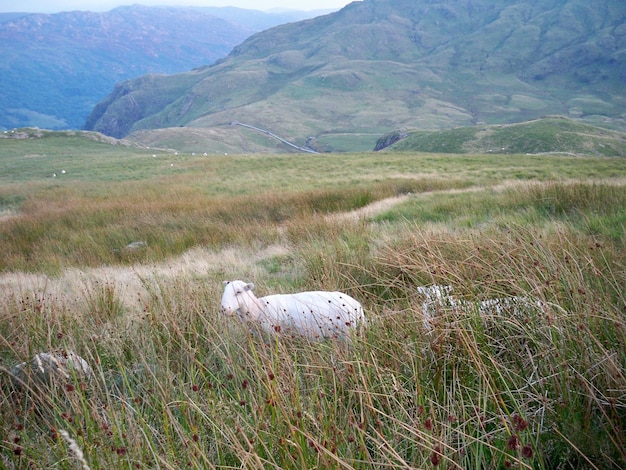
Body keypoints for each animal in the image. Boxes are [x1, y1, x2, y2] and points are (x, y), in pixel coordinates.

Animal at [221, 280, 364, 340]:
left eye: (238, 292)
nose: (224, 309)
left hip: (347, 333)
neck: (258, 309)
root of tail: (358, 306)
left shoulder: (275, 335)